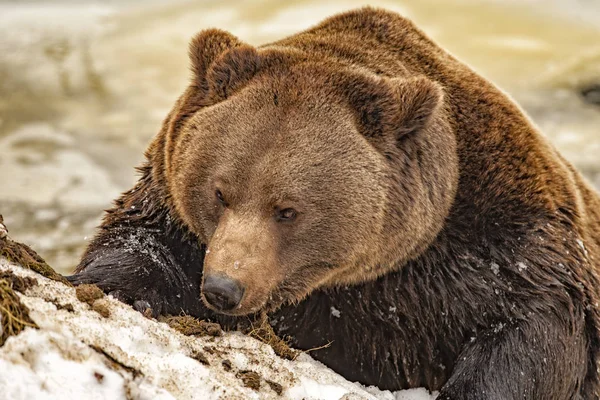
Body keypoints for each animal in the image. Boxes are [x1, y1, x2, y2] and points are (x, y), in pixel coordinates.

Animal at [68, 7, 600, 400]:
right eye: (220, 193)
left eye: (287, 210)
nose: (223, 288)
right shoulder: (172, 198)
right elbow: (141, 236)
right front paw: (115, 285)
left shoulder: (499, 243)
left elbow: (533, 330)